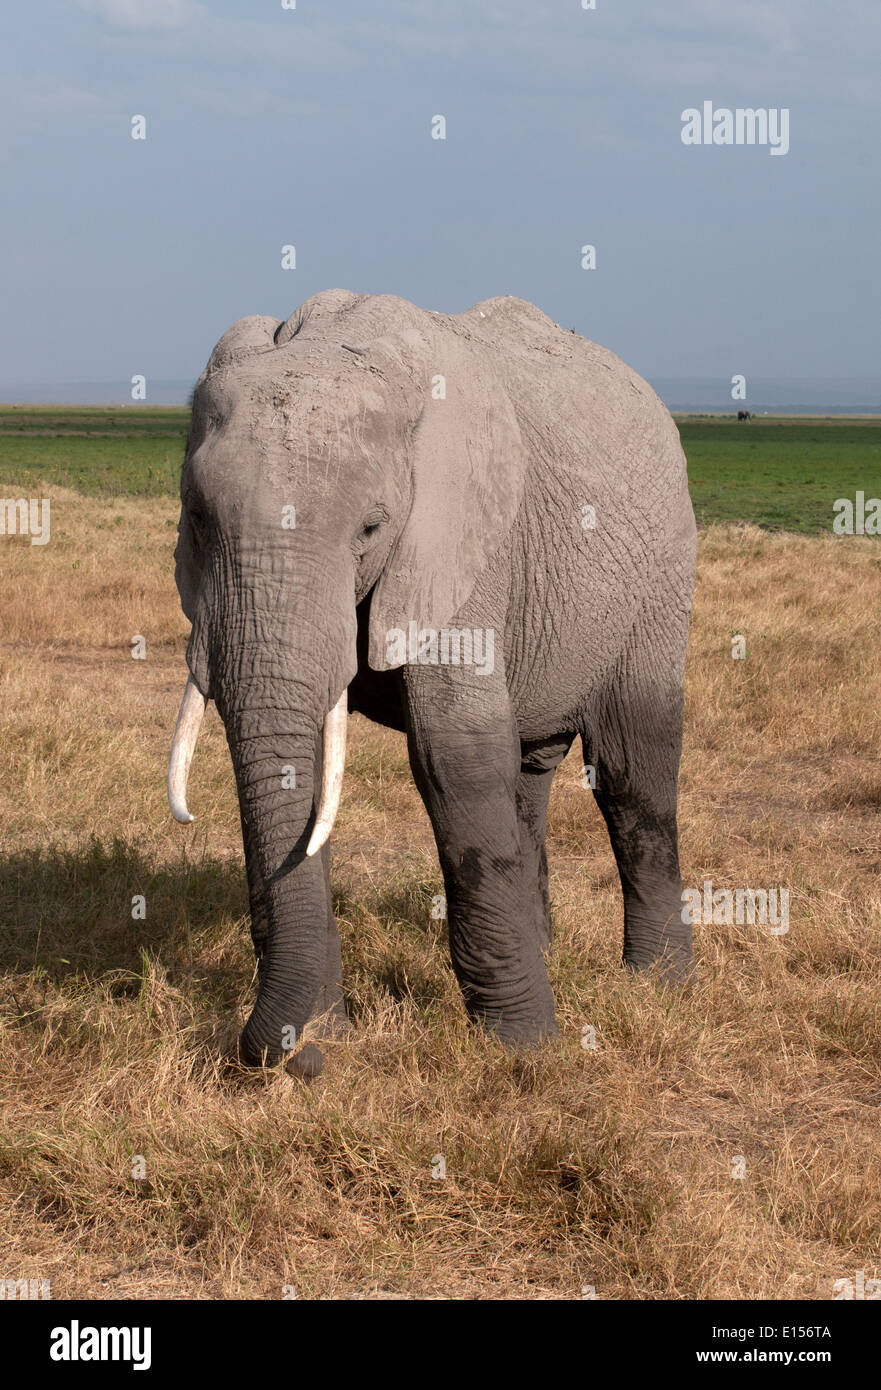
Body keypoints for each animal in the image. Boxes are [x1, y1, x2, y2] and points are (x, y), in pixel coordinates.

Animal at [169, 287, 692, 1067]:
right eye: (198, 520)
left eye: (370, 528)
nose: (294, 1056)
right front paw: (325, 1036)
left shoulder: (461, 537)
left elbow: (453, 752)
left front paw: (526, 1050)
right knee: (527, 772)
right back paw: (548, 949)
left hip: (660, 573)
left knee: (633, 766)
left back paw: (660, 984)